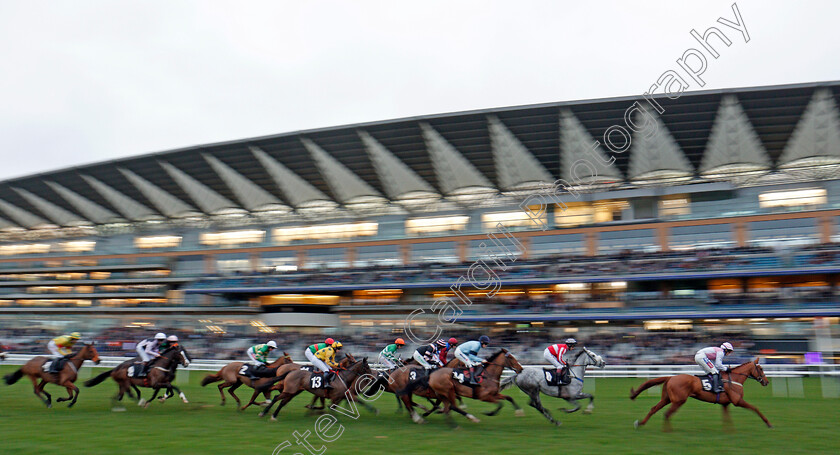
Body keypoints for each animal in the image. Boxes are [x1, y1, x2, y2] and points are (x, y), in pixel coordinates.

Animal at [632, 360, 776, 432]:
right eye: (761, 369)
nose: (766, 382)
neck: (733, 379)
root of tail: (670, 377)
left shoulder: (725, 403)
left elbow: (727, 418)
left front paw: (729, 431)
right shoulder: (737, 400)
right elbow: (755, 408)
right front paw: (769, 423)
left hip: (666, 399)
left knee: (654, 409)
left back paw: (640, 423)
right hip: (679, 401)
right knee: (667, 414)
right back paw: (668, 431)